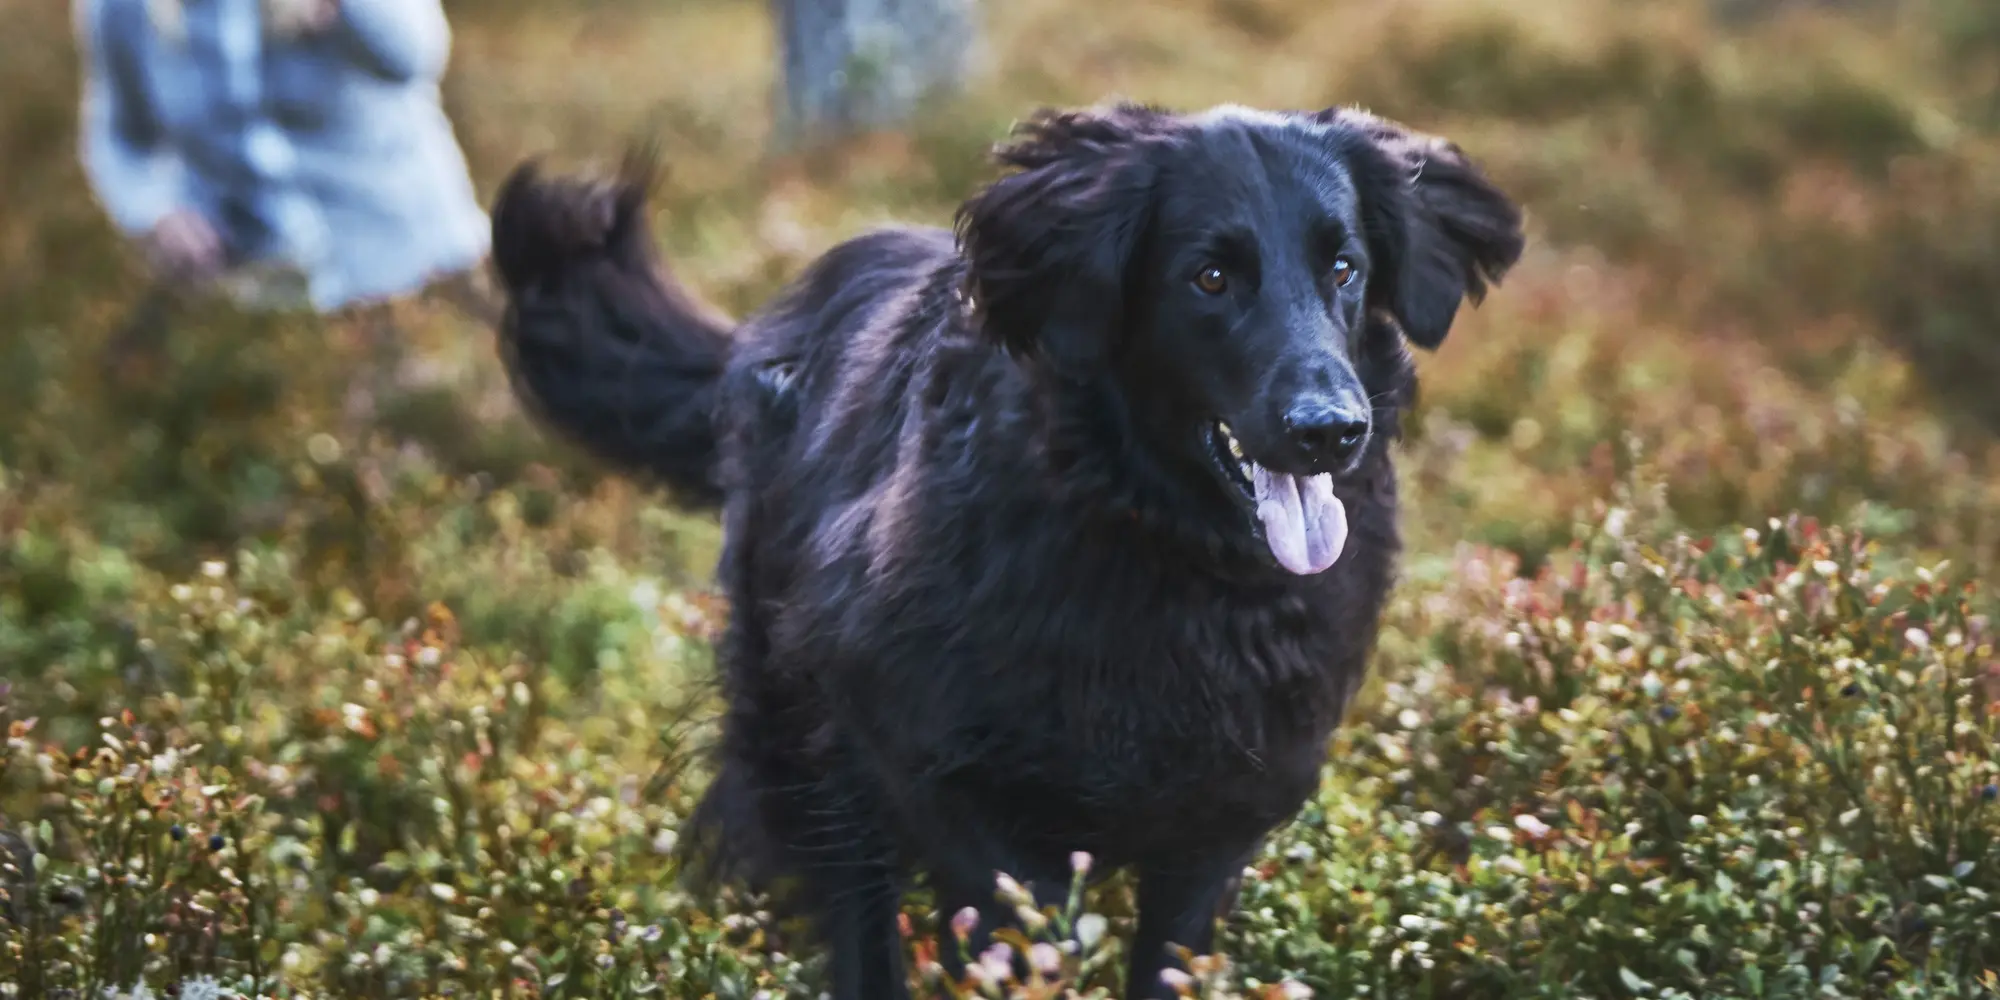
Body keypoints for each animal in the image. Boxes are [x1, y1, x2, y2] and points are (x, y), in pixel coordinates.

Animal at [492, 103, 1520, 1000]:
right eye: (1210, 278)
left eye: (1344, 268)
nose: (1330, 432)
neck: (1166, 552)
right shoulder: (938, 770)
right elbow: (1017, 935)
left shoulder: (1221, 817)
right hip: (808, 750)